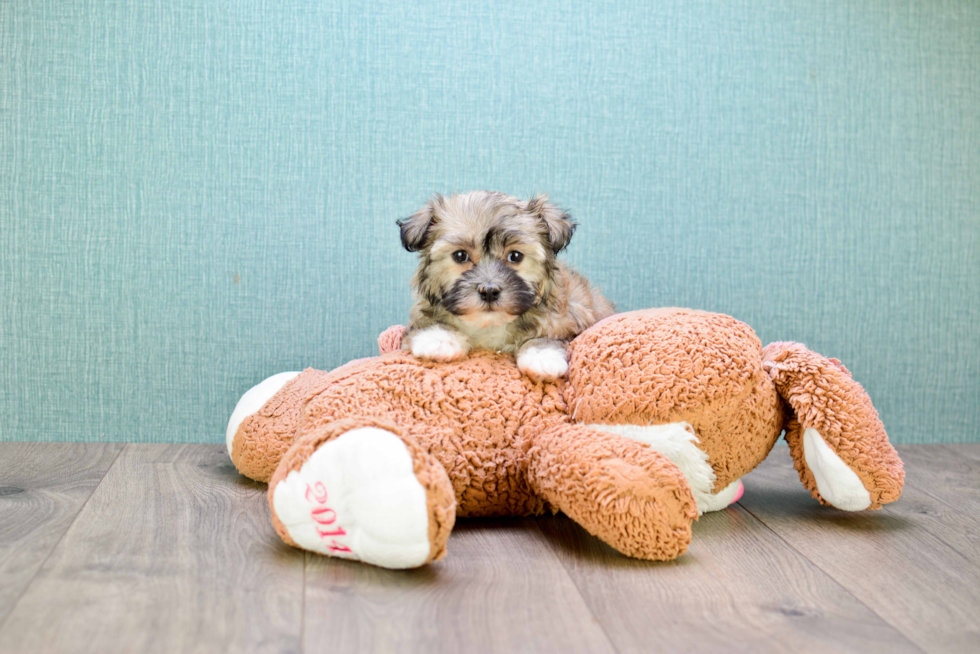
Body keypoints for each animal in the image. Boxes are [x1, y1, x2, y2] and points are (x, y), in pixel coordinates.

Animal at [396, 192, 612, 382]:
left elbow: (550, 336)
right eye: (460, 256)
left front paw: (542, 355)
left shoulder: (569, 319)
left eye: (515, 256)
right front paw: (439, 338)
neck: (490, 325)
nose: (489, 291)